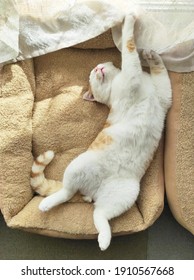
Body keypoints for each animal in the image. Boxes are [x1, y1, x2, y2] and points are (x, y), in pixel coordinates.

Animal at [31, 13, 172, 250]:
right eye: (91, 75)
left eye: (97, 68)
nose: (98, 69)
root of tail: (92, 191)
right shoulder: (133, 78)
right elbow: (129, 48)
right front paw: (128, 21)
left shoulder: (163, 97)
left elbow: (160, 72)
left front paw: (152, 56)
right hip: (77, 167)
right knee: (66, 193)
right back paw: (47, 204)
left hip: (123, 195)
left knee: (99, 214)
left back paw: (104, 240)